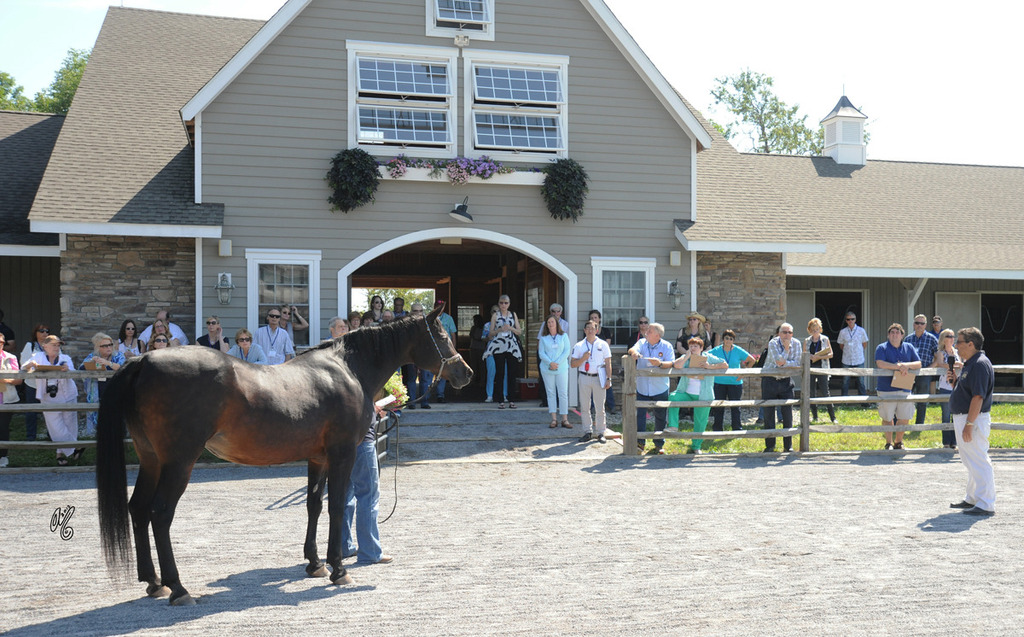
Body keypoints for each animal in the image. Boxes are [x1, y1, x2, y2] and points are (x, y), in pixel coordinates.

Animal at [96, 304, 472, 605]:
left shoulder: (318, 457)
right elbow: (337, 506)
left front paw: (315, 563)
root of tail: (143, 359)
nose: (465, 372)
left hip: (151, 459)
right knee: (159, 514)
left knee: (138, 509)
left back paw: (153, 582)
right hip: (178, 462)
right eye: (441, 335)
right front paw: (338, 569)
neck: (347, 369)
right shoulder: (342, 453)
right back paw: (178, 588)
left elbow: (314, 505)